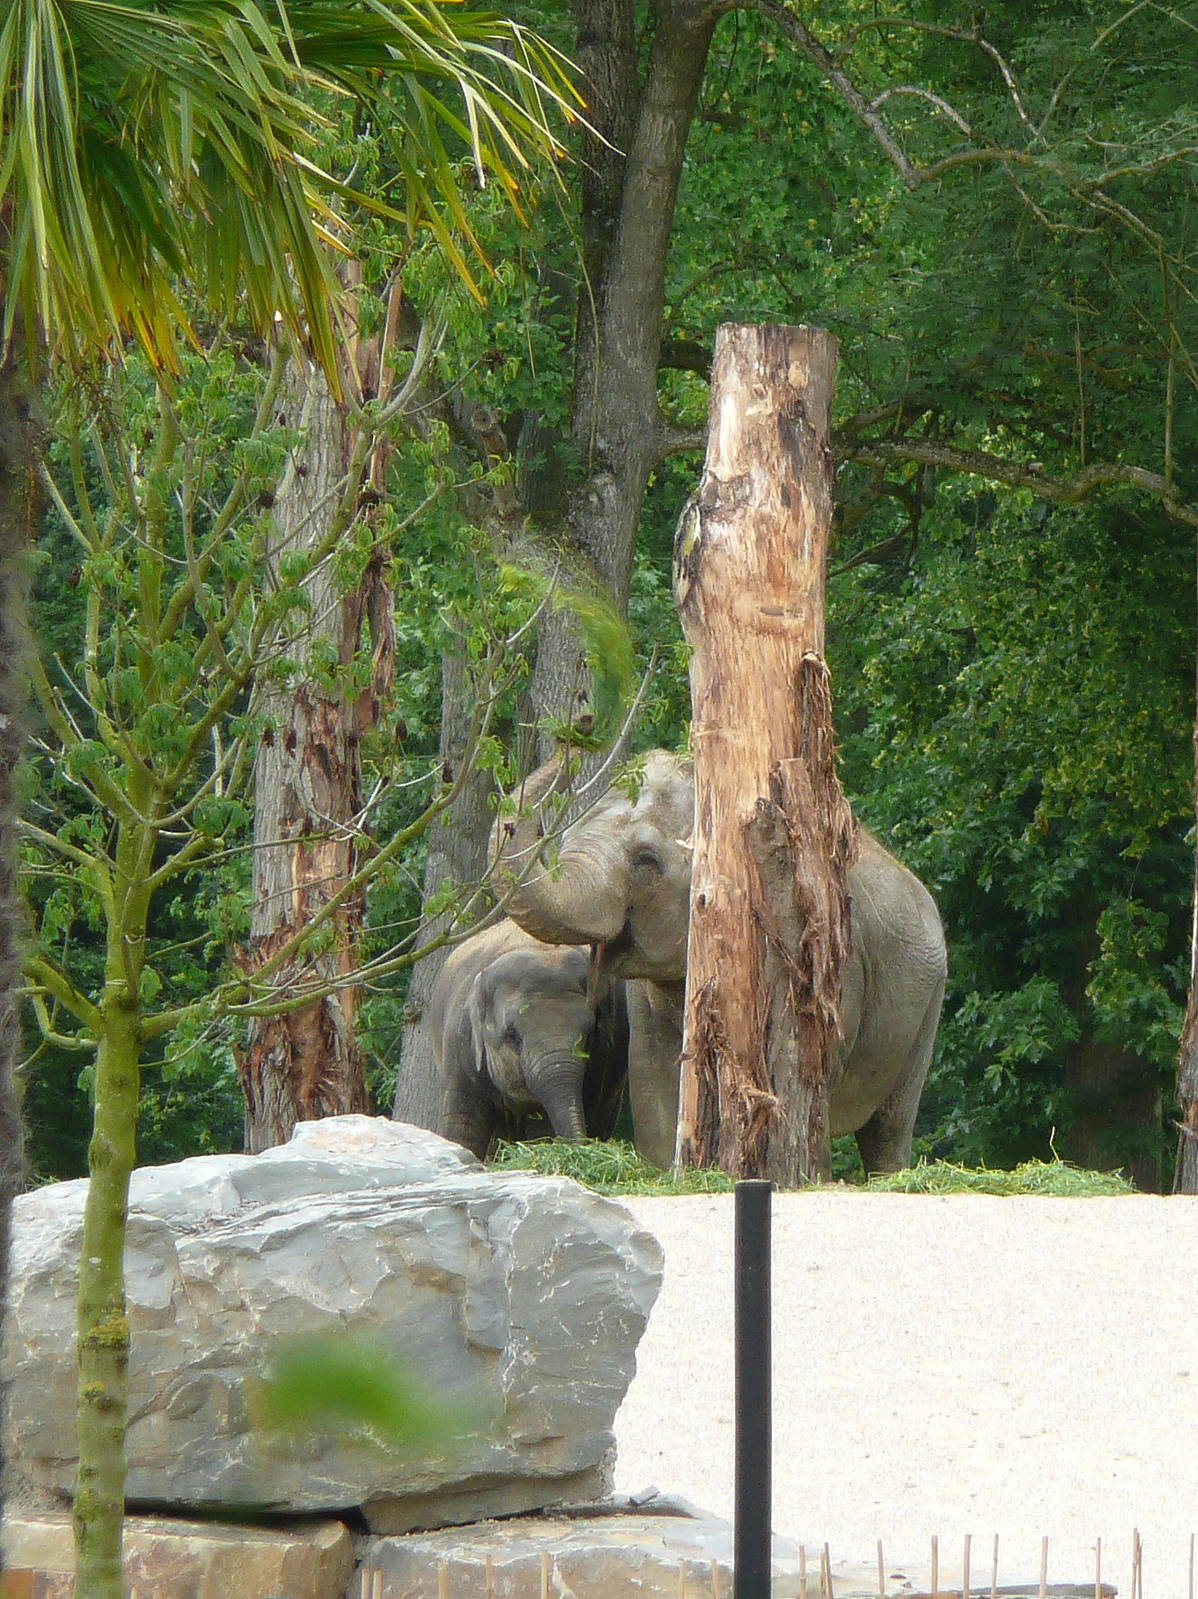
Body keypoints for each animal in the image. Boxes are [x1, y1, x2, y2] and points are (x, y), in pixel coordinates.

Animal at [494, 749, 946, 1173]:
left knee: (889, 1125)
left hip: (926, 1006)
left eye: (646, 860)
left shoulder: (824, 959)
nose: (575, 734)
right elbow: (653, 1082)